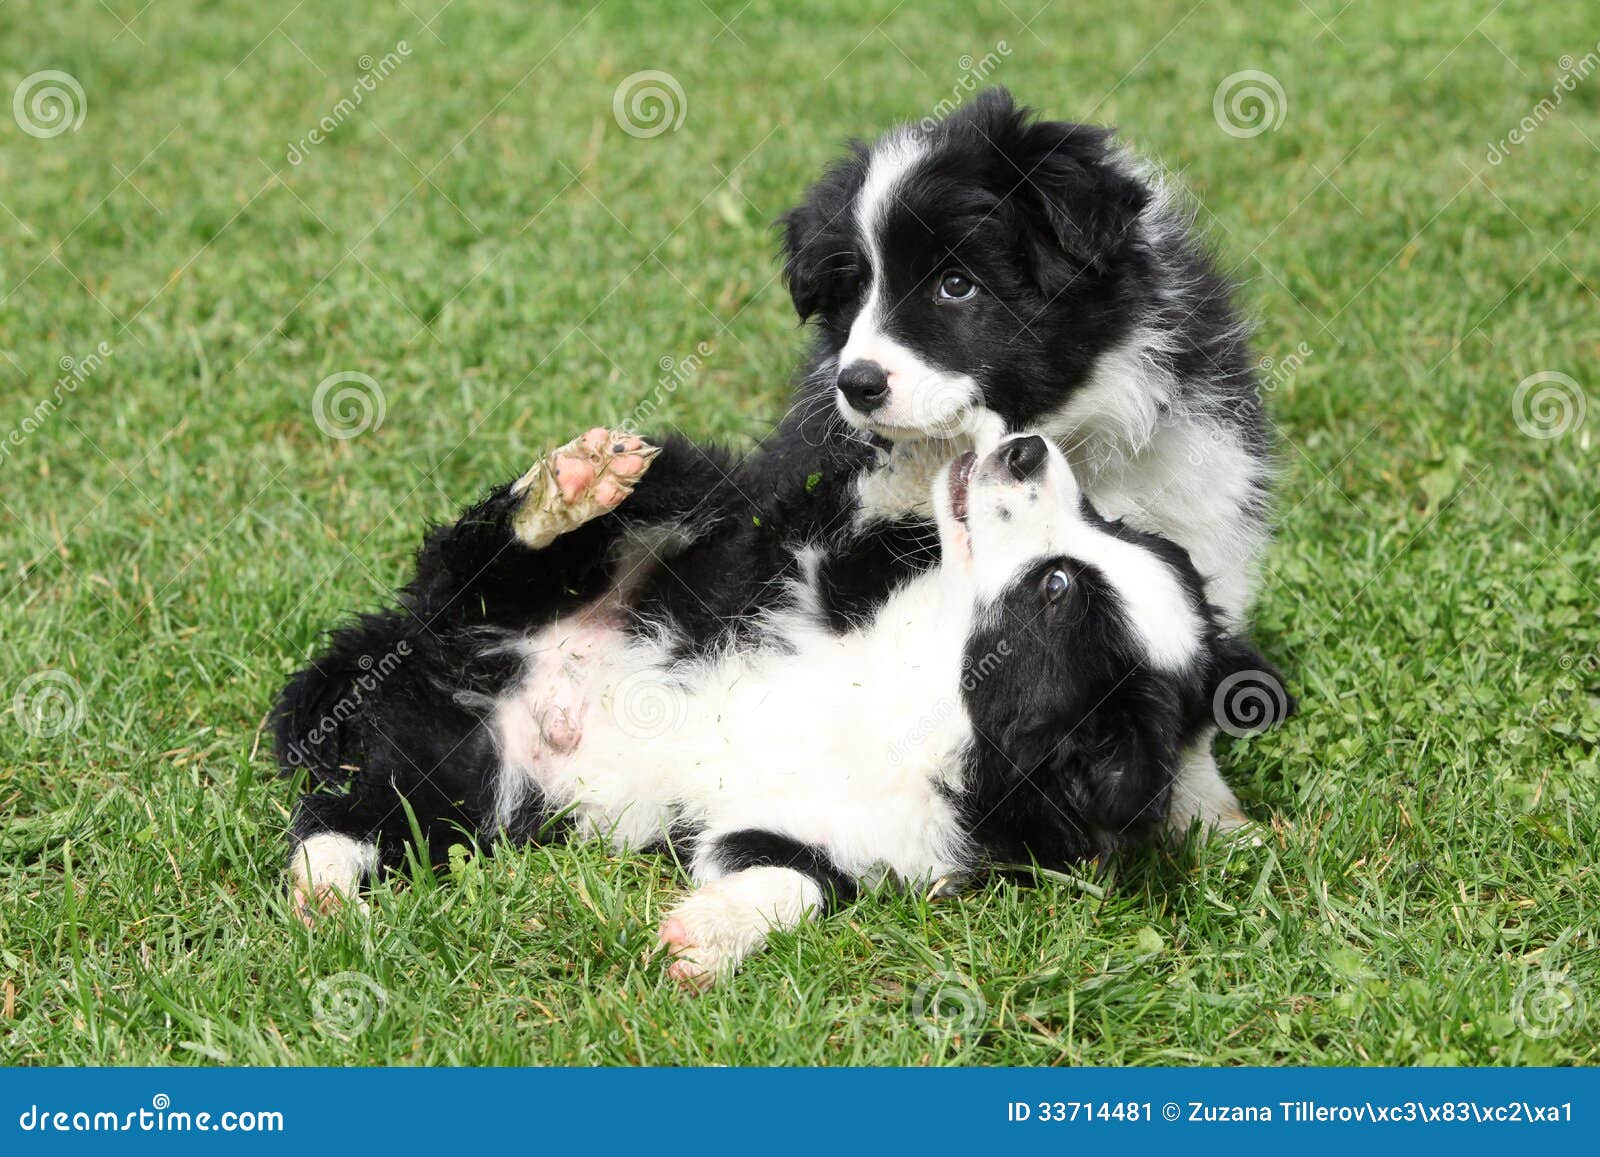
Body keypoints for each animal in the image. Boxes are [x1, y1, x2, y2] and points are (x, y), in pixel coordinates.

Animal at [272, 428, 1273, 985]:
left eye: (1056, 588)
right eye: (1103, 529)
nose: (1028, 447)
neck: (938, 680)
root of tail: (418, 641)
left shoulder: (863, 840)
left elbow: (794, 883)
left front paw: (705, 938)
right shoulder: (816, 556)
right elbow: (848, 502)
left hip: (471, 779)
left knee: (357, 813)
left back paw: (325, 888)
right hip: (579, 566)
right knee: (525, 547)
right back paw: (575, 487)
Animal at [761, 86, 1273, 838]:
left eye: (956, 284)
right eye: (853, 291)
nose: (857, 384)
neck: (1062, 428)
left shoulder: (1196, 494)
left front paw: (1209, 810)